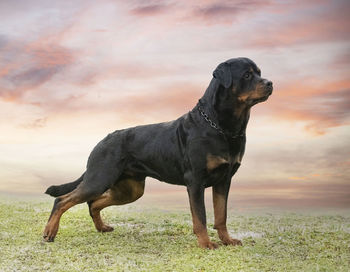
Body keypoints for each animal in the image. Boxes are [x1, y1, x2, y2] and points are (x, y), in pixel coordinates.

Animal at [44, 56, 274, 249]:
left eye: (259, 72)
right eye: (247, 75)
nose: (270, 83)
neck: (222, 126)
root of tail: (102, 141)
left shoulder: (224, 181)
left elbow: (221, 215)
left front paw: (227, 240)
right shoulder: (195, 181)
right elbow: (201, 217)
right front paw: (206, 243)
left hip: (130, 189)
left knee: (93, 202)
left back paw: (101, 227)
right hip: (100, 178)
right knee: (62, 200)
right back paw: (49, 232)